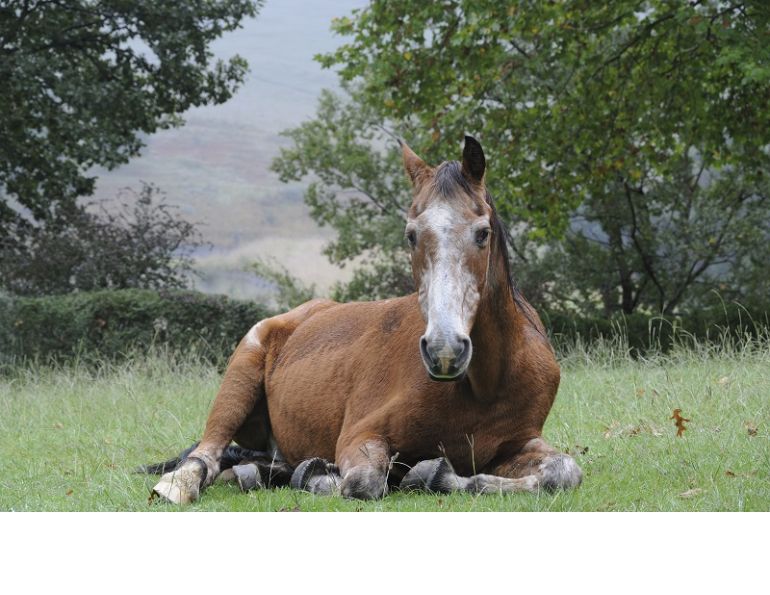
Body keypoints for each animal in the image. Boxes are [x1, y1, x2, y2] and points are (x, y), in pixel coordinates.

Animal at [145, 136, 582, 503]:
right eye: (411, 234)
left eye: (483, 232)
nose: (444, 350)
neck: (485, 384)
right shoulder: (361, 435)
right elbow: (364, 482)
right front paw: (327, 477)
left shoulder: (517, 444)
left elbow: (564, 471)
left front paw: (433, 474)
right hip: (239, 379)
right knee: (207, 454)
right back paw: (184, 484)